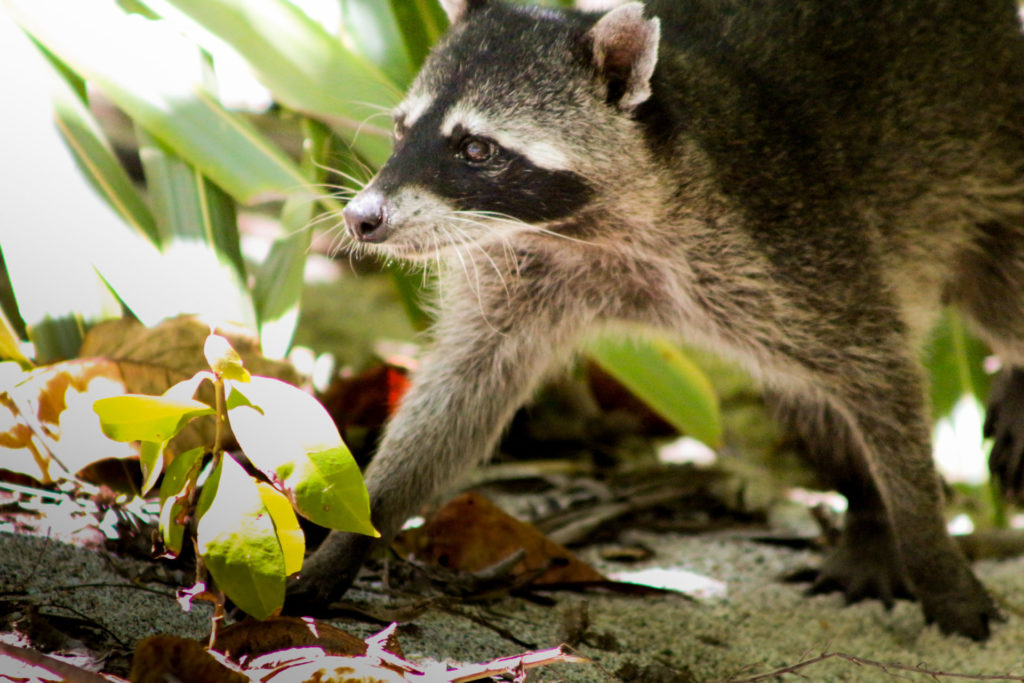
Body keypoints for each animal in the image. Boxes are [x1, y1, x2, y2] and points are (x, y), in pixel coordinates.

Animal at [290, 0, 1024, 643]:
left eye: (475, 148)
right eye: (400, 130)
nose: (361, 218)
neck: (589, 229)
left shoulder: (799, 243)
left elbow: (881, 373)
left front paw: (930, 549)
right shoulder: (523, 274)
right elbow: (458, 397)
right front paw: (356, 529)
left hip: (993, 172)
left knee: (1000, 309)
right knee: (808, 398)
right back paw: (866, 512)